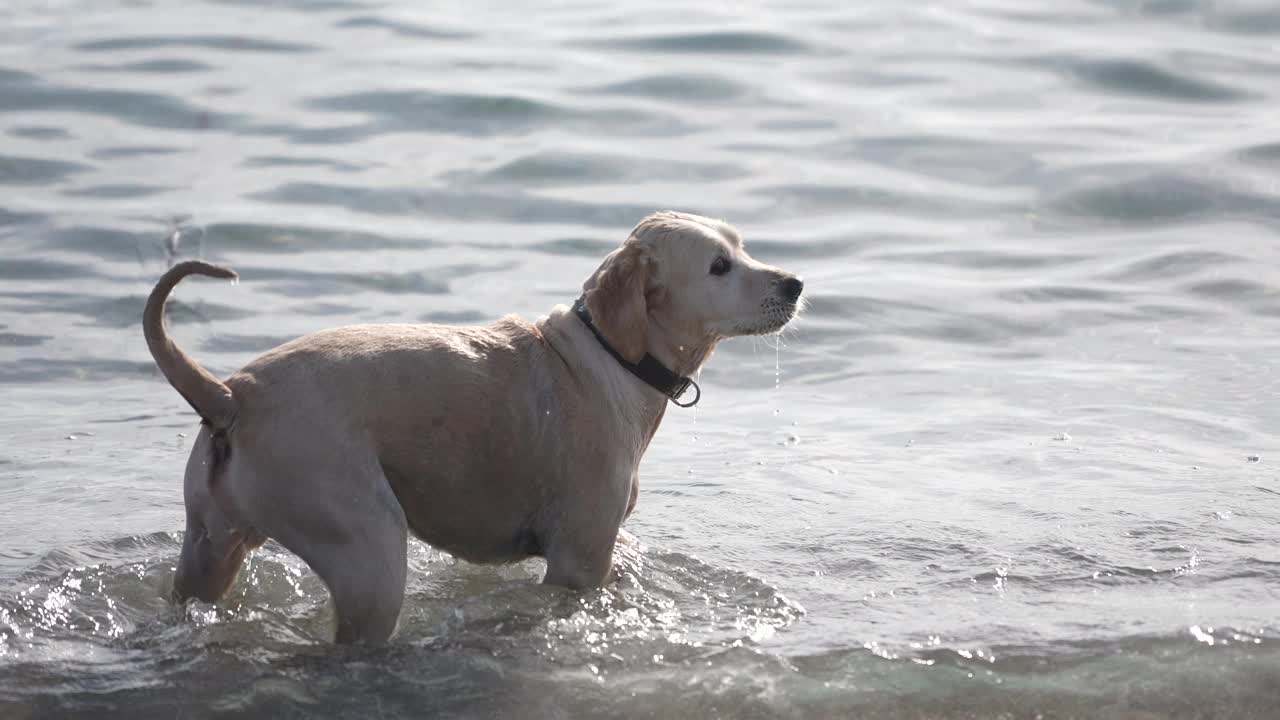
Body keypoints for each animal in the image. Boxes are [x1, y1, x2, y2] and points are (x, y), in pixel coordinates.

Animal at [147, 210, 798, 640]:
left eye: (742, 247)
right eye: (719, 267)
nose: (795, 284)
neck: (613, 355)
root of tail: (231, 395)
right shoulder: (579, 562)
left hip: (209, 546)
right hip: (367, 550)